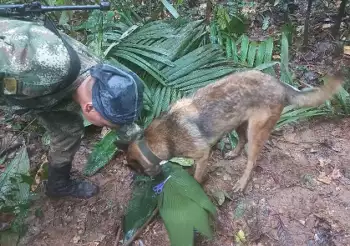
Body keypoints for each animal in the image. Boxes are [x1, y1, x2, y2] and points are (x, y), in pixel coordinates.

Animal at [125, 69, 342, 192]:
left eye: (138, 171)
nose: (152, 180)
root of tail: (280, 84)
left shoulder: (202, 155)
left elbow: (197, 176)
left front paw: (197, 186)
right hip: (238, 122)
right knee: (242, 140)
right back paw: (233, 153)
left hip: (256, 132)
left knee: (252, 160)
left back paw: (242, 183)